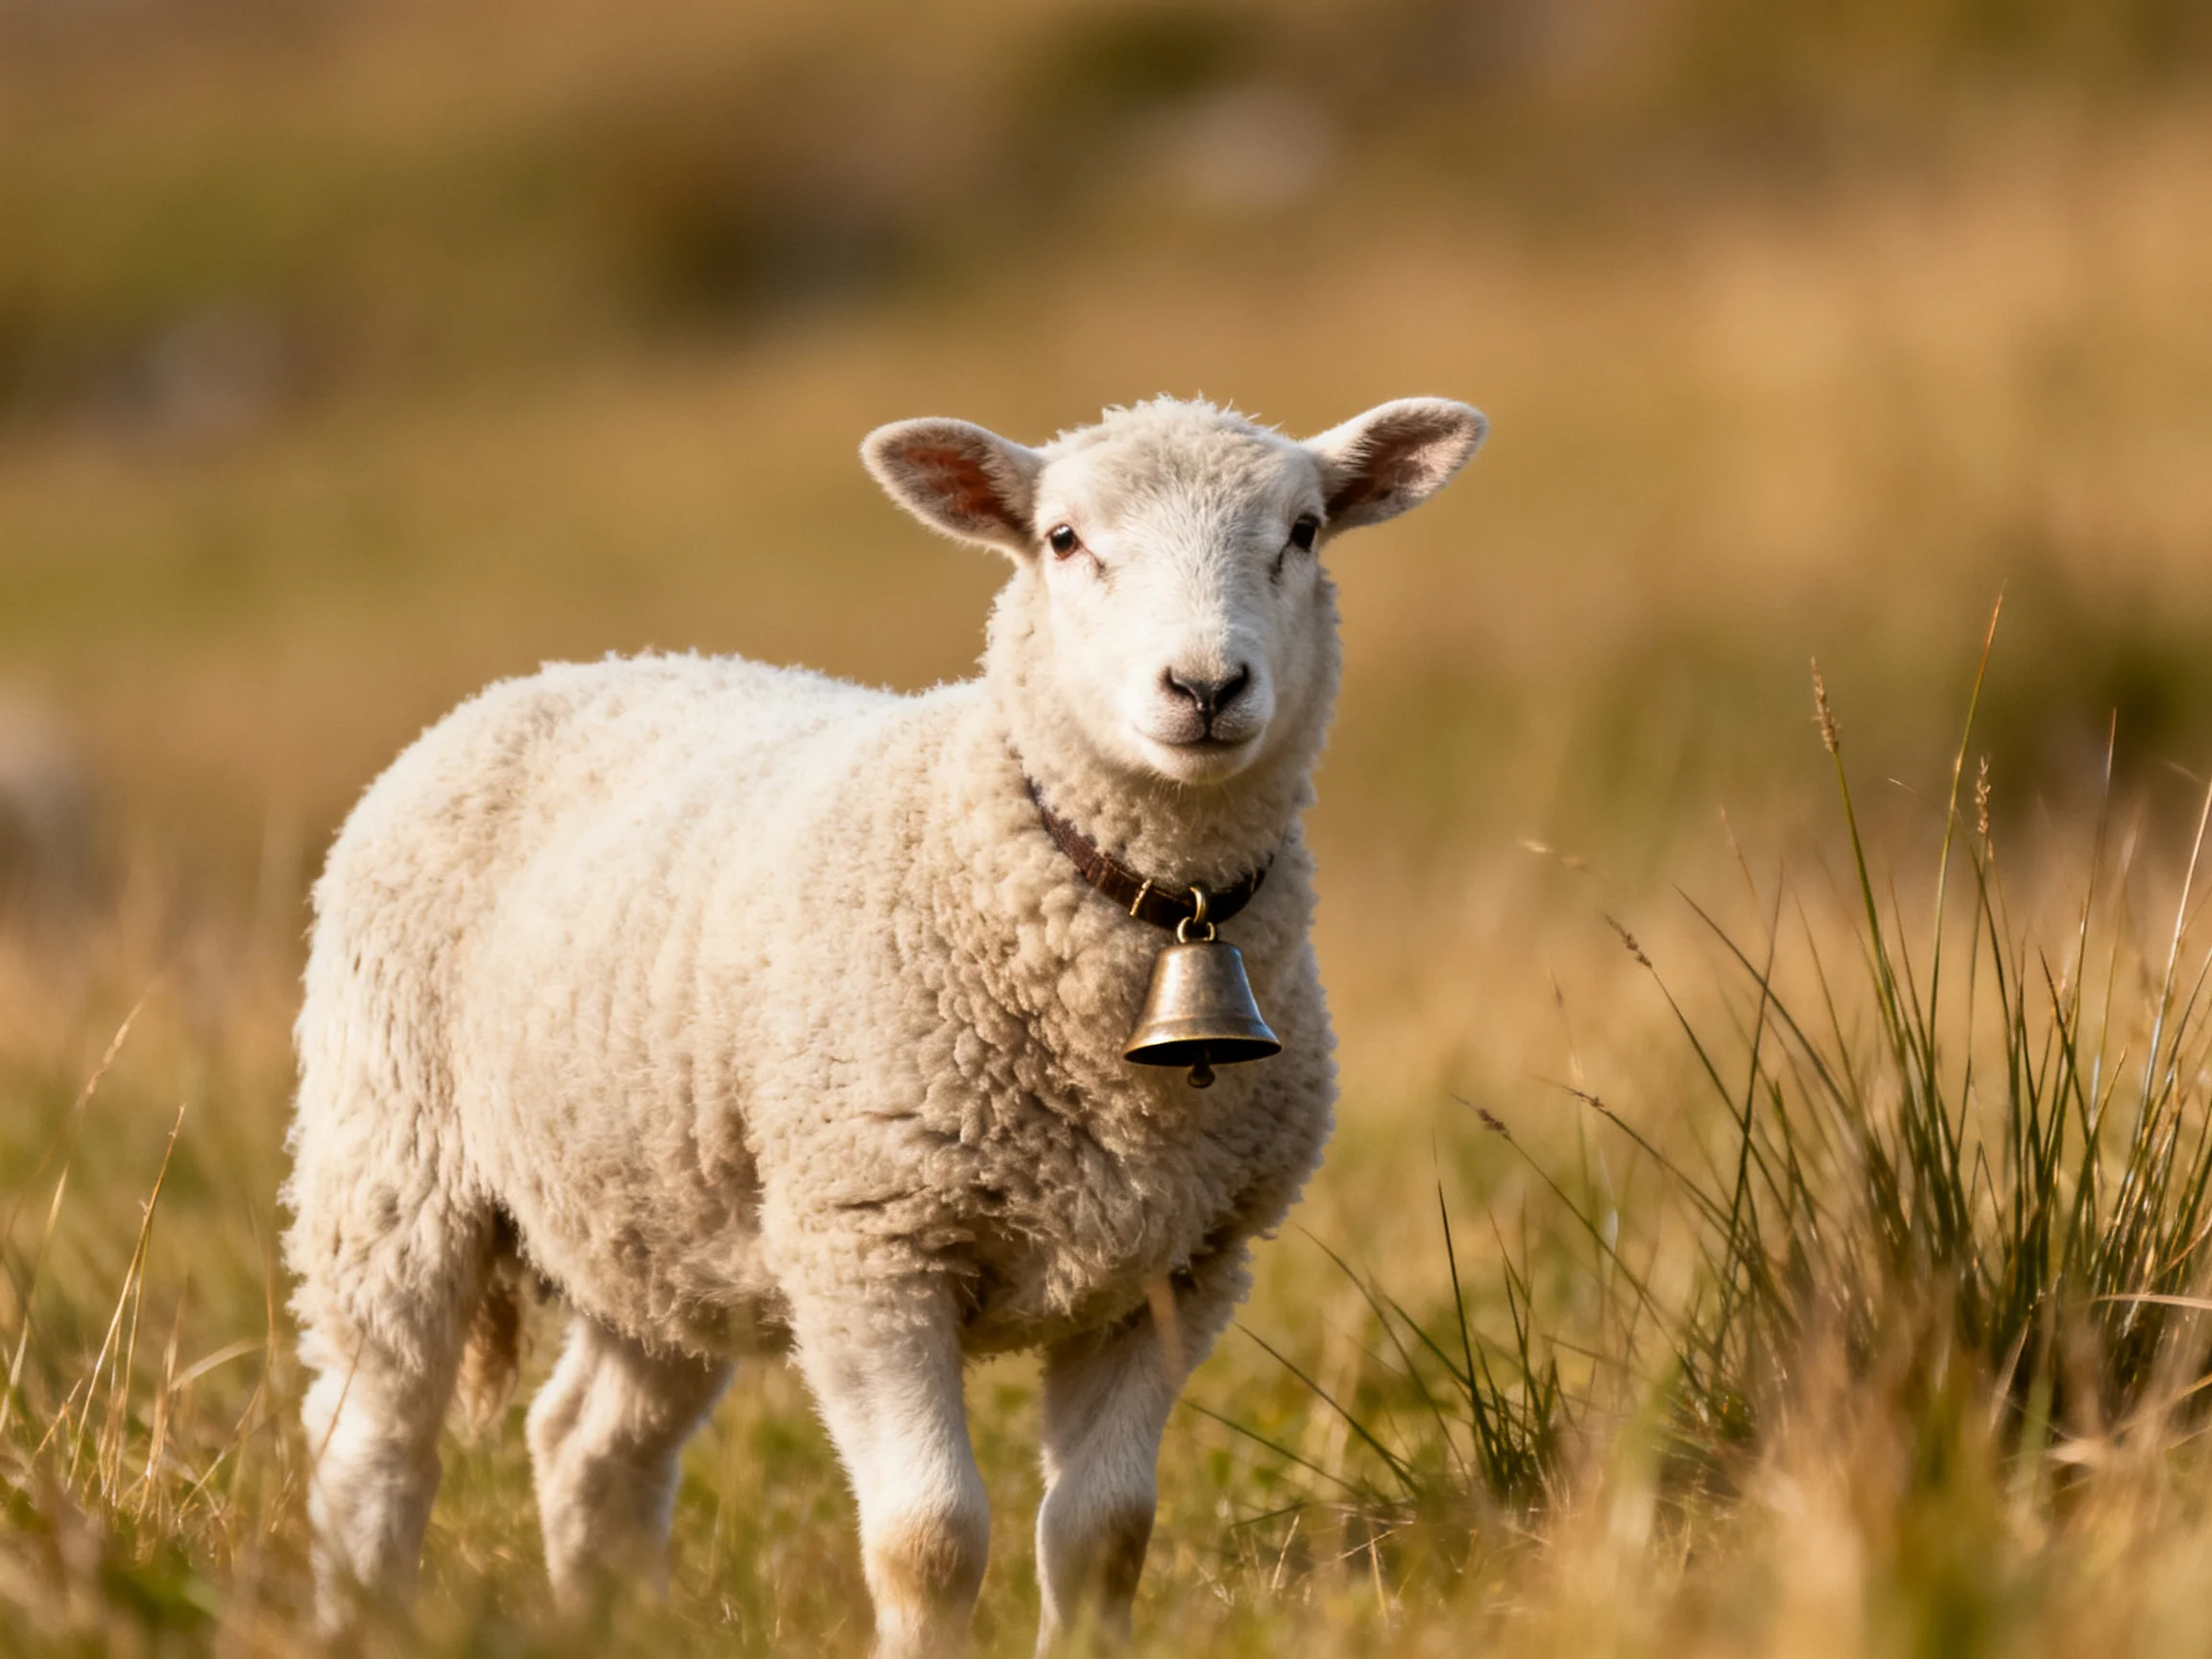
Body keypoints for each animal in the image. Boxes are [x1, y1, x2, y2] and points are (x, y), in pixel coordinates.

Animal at [283, 393, 1487, 1654]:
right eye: (1064, 540)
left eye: (1303, 533)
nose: (1205, 687)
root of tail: (557, 673)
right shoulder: (869, 1245)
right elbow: (930, 1538)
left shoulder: (1181, 1267)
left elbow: (1104, 1534)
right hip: (388, 1162)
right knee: (370, 1439)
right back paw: (360, 1612)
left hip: (654, 1217)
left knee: (588, 1445)